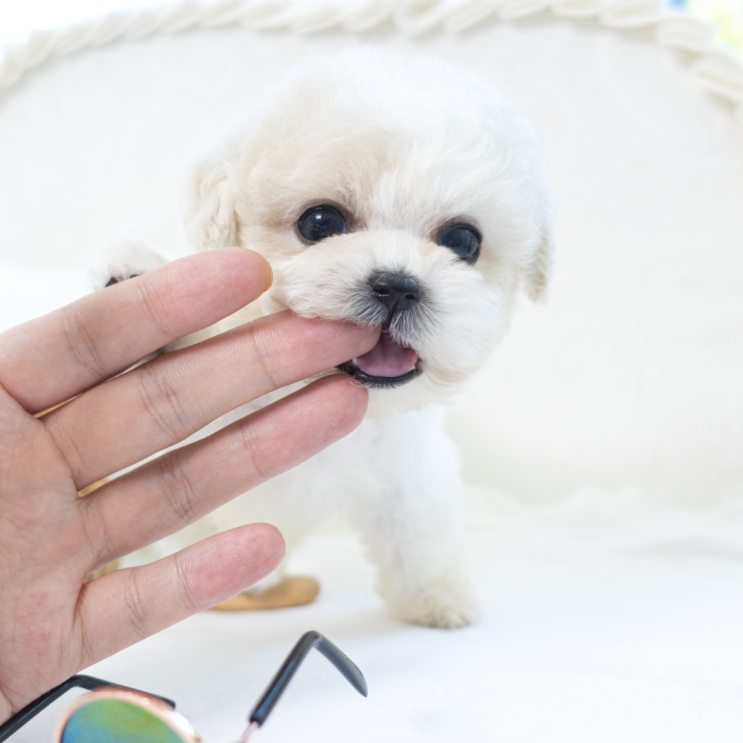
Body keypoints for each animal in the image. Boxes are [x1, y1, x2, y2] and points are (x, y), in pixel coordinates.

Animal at [91, 46, 552, 628]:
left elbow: (420, 529)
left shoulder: (409, 467)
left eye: (464, 240)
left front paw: (436, 596)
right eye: (320, 222)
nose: (398, 285)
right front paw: (140, 288)